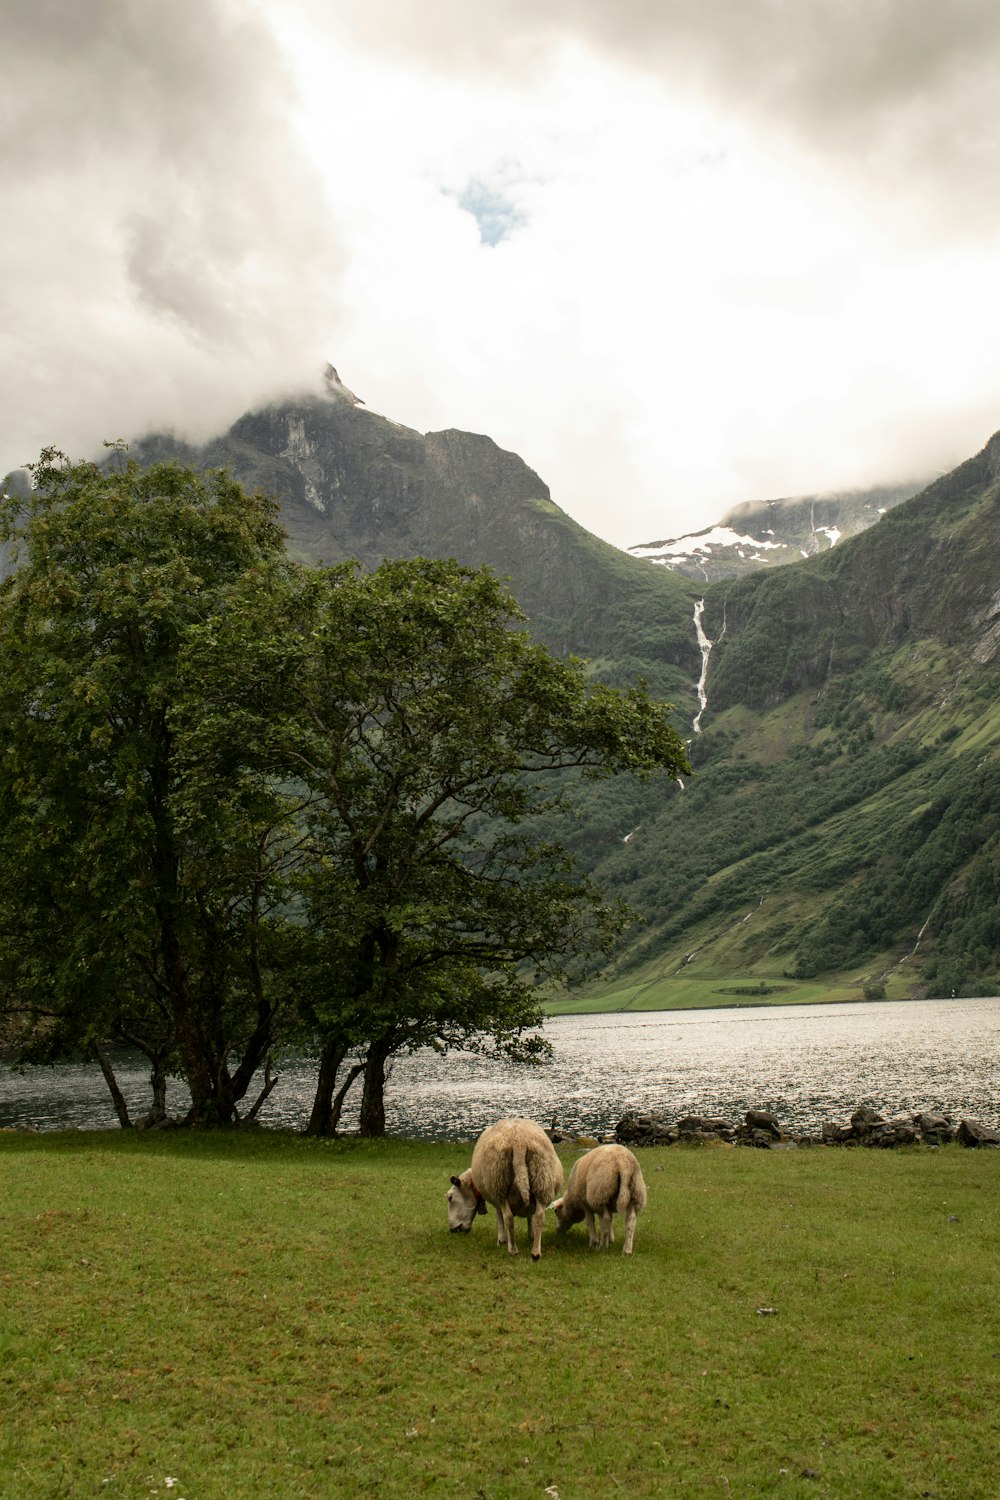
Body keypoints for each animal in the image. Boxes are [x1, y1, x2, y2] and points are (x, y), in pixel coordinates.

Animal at [446, 1122, 563, 1260]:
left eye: (450, 1198)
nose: (452, 1230)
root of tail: (519, 1142)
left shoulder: (495, 1198)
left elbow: (499, 1216)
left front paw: (501, 1239)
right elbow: (530, 1215)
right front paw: (531, 1235)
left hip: (500, 1184)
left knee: (508, 1217)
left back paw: (513, 1250)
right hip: (541, 1180)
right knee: (539, 1216)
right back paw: (535, 1252)